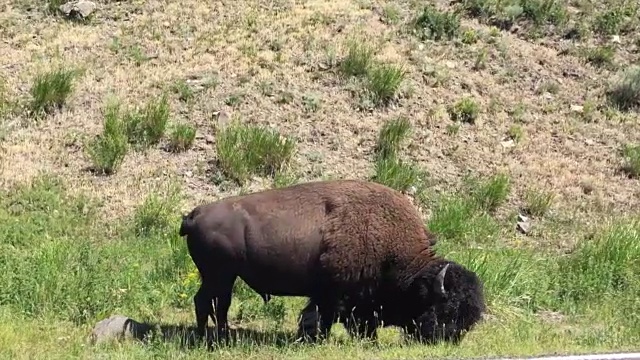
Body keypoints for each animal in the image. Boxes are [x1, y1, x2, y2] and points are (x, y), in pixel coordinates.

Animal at [178, 180, 482, 346]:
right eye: (446, 310)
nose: (447, 341)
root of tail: (194, 214)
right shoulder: (335, 295)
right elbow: (322, 317)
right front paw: (313, 338)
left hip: (224, 277)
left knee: (218, 304)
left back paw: (222, 336)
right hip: (218, 275)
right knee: (206, 302)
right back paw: (208, 338)